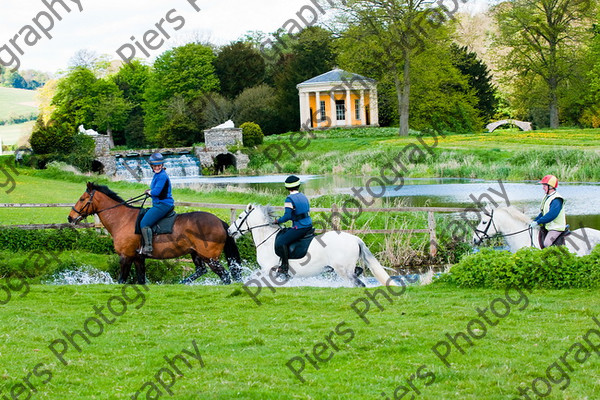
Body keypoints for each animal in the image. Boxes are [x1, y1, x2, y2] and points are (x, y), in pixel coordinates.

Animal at [68, 182, 241, 284]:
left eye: (82, 199)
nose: (70, 218)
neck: (122, 219)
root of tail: (219, 222)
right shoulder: (138, 258)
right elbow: (141, 279)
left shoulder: (126, 256)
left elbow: (121, 280)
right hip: (196, 253)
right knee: (201, 270)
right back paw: (182, 283)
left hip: (210, 257)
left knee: (225, 276)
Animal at [229, 205, 398, 286]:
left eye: (240, 217)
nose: (230, 231)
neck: (267, 238)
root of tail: (355, 239)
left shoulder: (267, 269)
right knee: (358, 271)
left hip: (343, 270)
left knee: (358, 283)